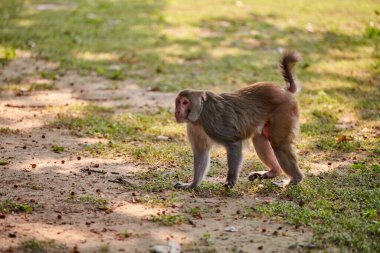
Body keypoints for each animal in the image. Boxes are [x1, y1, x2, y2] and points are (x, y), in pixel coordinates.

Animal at [174, 50, 304, 189]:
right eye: (178, 102)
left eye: (185, 102)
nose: (177, 112)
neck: (201, 114)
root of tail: (284, 91)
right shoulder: (193, 126)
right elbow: (201, 152)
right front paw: (192, 185)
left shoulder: (213, 124)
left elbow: (233, 143)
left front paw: (231, 180)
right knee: (259, 139)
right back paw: (273, 172)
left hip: (284, 111)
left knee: (279, 144)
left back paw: (295, 179)